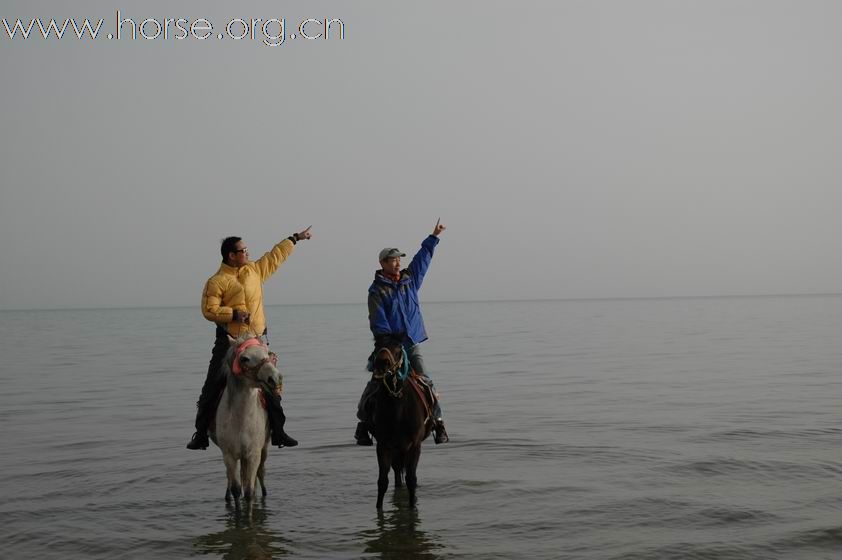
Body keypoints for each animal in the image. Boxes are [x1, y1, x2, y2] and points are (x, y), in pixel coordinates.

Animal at [208, 334, 280, 500]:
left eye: (268, 353)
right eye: (244, 358)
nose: (275, 378)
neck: (241, 420)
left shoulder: (253, 454)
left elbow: (249, 492)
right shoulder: (229, 455)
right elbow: (236, 488)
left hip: (263, 448)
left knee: (260, 474)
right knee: (230, 479)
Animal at [370, 334, 434, 510]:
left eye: (398, 348)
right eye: (376, 345)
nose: (382, 363)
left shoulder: (414, 445)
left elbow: (412, 480)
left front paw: (412, 509)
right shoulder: (383, 445)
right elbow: (382, 481)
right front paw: (379, 508)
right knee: (397, 472)